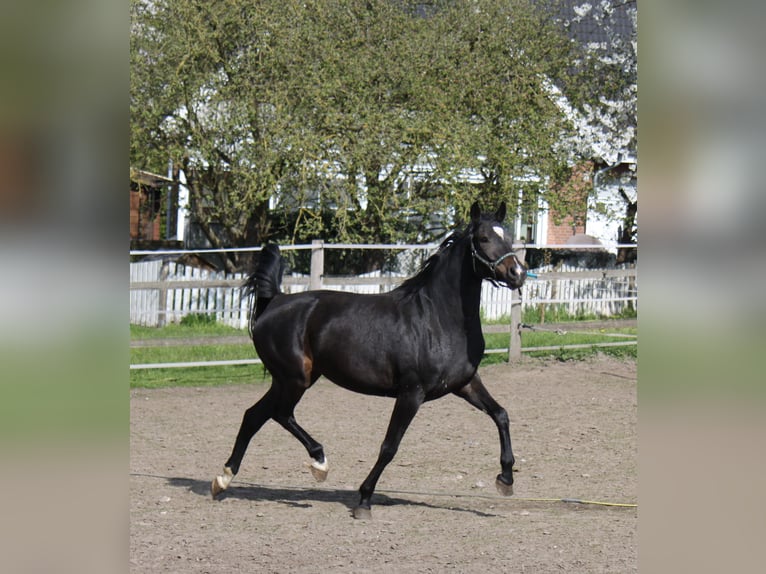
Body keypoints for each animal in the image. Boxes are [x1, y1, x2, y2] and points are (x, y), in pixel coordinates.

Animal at [213, 204, 532, 520]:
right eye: (483, 238)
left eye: (509, 236)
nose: (517, 273)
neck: (438, 318)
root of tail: (275, 302)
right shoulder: (412, 393)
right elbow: (390, 446)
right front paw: (364, 500)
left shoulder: (465, 383)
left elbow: (501, 415)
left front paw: (506, 479)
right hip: (294, 379)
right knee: (280, 413)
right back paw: (319, 463)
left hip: (290, 379)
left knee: (254, 415)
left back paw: (223, 480)